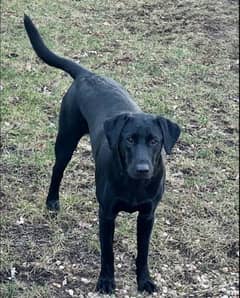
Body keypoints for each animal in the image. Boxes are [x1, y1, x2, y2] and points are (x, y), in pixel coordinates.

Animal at [23, 15, 180, 294]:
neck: (133, 184)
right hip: (66, 140)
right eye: (129, 140)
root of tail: (88, 74)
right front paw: (106, 281)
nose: (142, 169)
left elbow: (143, 252)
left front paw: (144, 280)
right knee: (57, 171)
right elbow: (108, 253)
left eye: (154, 141)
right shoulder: (106, 215)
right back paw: (52, 202)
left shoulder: (148, 215)